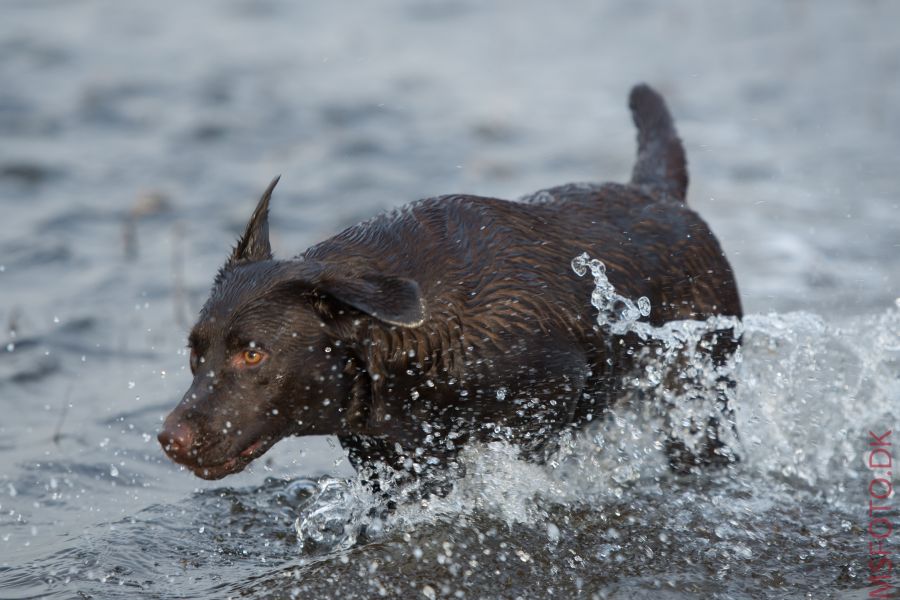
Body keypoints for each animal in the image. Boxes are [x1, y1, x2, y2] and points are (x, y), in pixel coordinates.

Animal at [158, 84, 740, 486]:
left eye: (253, 354)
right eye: (194, 355)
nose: (168, 438)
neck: (413, 338)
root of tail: (659, 194)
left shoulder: (552, 390)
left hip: (702, 388)